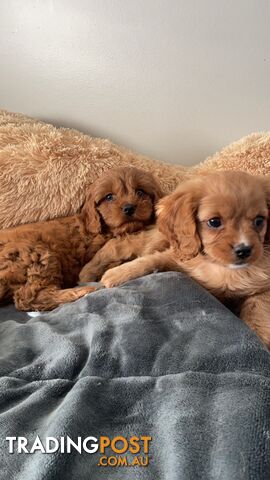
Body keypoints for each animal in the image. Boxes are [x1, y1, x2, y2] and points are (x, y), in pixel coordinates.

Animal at [0, 169, 161, 312]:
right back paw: (81, 291)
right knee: (29, 298)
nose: (129, 208)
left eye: (140, 192)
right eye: (109, 197)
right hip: (36, 254)